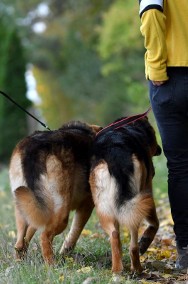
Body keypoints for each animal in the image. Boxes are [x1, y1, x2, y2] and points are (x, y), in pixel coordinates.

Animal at [9, 120, 101, 264]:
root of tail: (33, 150)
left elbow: (30, 230)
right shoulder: (86, 206)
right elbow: (75, 233)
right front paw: (65, 252)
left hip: (24, 205)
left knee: (19, 243)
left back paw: (20, 262)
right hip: (61, 212)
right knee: (44, 236)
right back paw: (52, 265)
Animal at [89, 115, 162, 272]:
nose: (160, 149)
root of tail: (114, 152)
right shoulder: (148, 187)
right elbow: (155, 224)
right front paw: (146, 241)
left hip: (103, 206)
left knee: (115, 235)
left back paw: (117, 270)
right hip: (141, 197)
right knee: (134, 242)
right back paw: (137, 267)